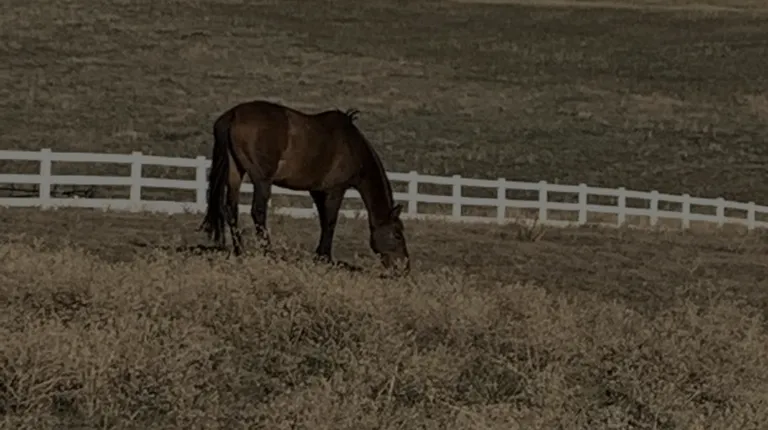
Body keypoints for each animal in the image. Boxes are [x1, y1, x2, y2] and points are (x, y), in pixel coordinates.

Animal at [198, 100, 410, 275]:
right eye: (397, 235)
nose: (405, 267)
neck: (352, 146)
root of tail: (232, 115)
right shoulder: (335, 190)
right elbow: (330, 221)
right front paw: (324, 257)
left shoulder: (317, 191)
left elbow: (324, 221)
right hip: (261, 180)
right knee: (257, 212)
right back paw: (268, 252)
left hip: (235, 172)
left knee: (231, 209)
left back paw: (240, 251)